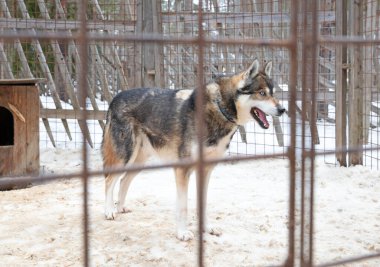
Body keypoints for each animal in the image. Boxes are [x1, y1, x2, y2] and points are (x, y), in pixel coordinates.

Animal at [101, 59, 284, 242]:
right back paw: (109, 211)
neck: (219, 108)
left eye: (273, 93)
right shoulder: (183, 170)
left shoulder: (206, 170)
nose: (283, 110)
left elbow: (203, 203)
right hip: (125, 156)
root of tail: (116, 97)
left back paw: (121, 207)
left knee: (123, 181)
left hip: (139, 161)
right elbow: (183, 206)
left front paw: (207, 228)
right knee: (110, 180)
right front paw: (182, 233)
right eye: (262, 93)